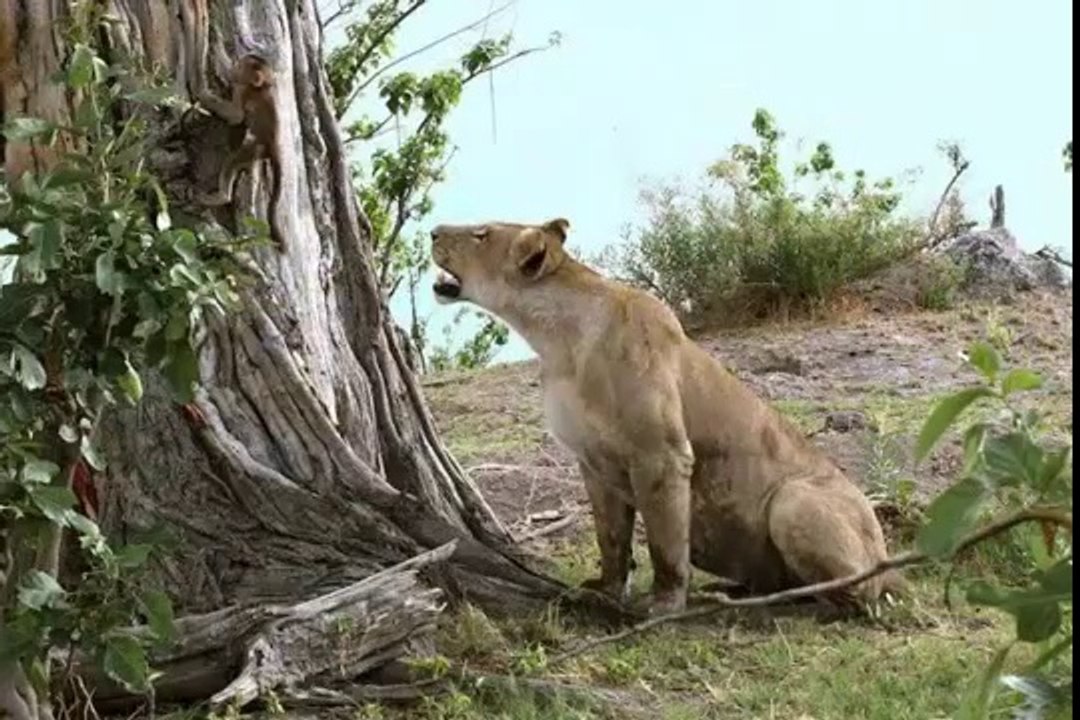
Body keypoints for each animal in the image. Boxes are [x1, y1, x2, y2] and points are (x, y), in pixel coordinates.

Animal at [195, 53, 287, 253]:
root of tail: (274, 148)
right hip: (258, 153)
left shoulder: (242, 91)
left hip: (255, 148)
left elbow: (236, 116)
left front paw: (204, 94)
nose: (235, 68)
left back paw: (222, 196)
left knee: (232, 160)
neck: (261, 86)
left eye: (241, 66)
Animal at [430, 218, 903, 614]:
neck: (558, 342)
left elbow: (664, 542)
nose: (433, 231)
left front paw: (664, 606)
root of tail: (886, 555)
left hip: (793, 501)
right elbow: (611, 538)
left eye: (481, 234)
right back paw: (733, 590)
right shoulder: (593, 462)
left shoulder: (662, 454)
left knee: (861, 594)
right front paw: (604, 591)